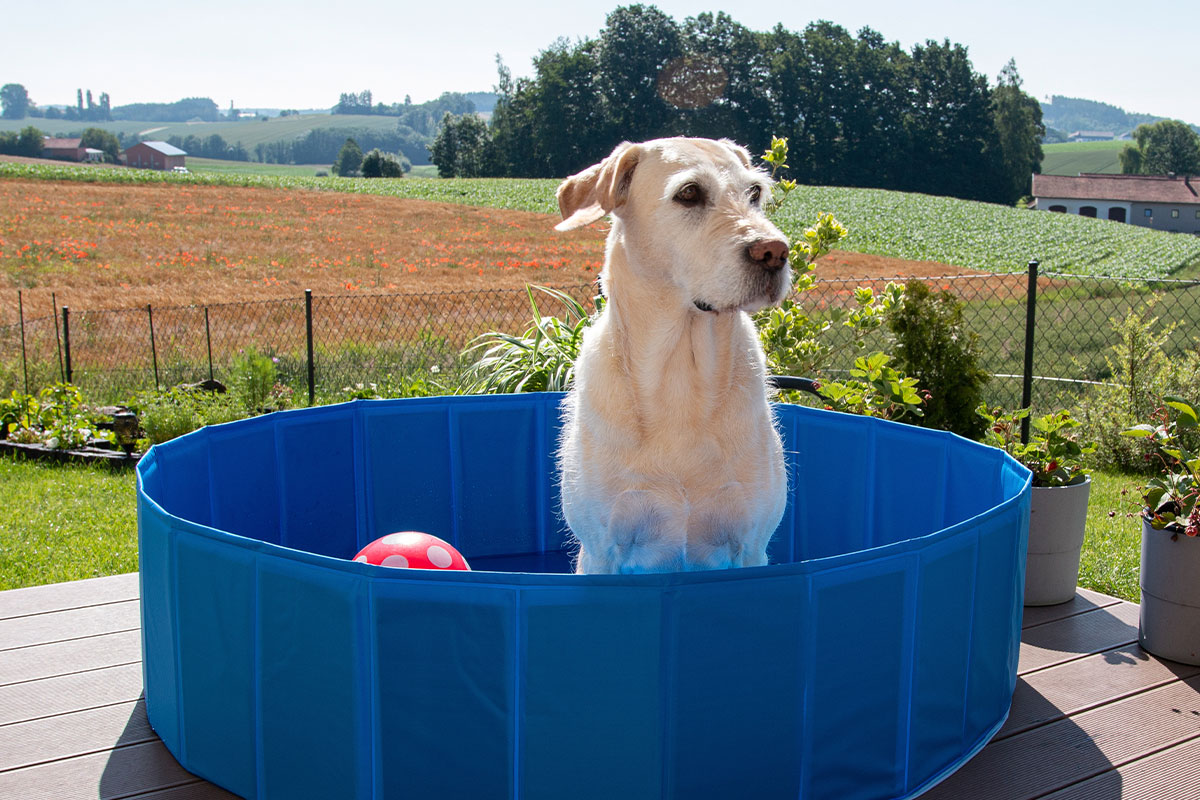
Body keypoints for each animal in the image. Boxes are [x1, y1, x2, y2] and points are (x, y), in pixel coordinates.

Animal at [554, 139, 796, 575]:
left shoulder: (751, 547)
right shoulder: (601, 552)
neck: (681, 374)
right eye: (689, 193)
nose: (775, 252)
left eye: (755, 192)